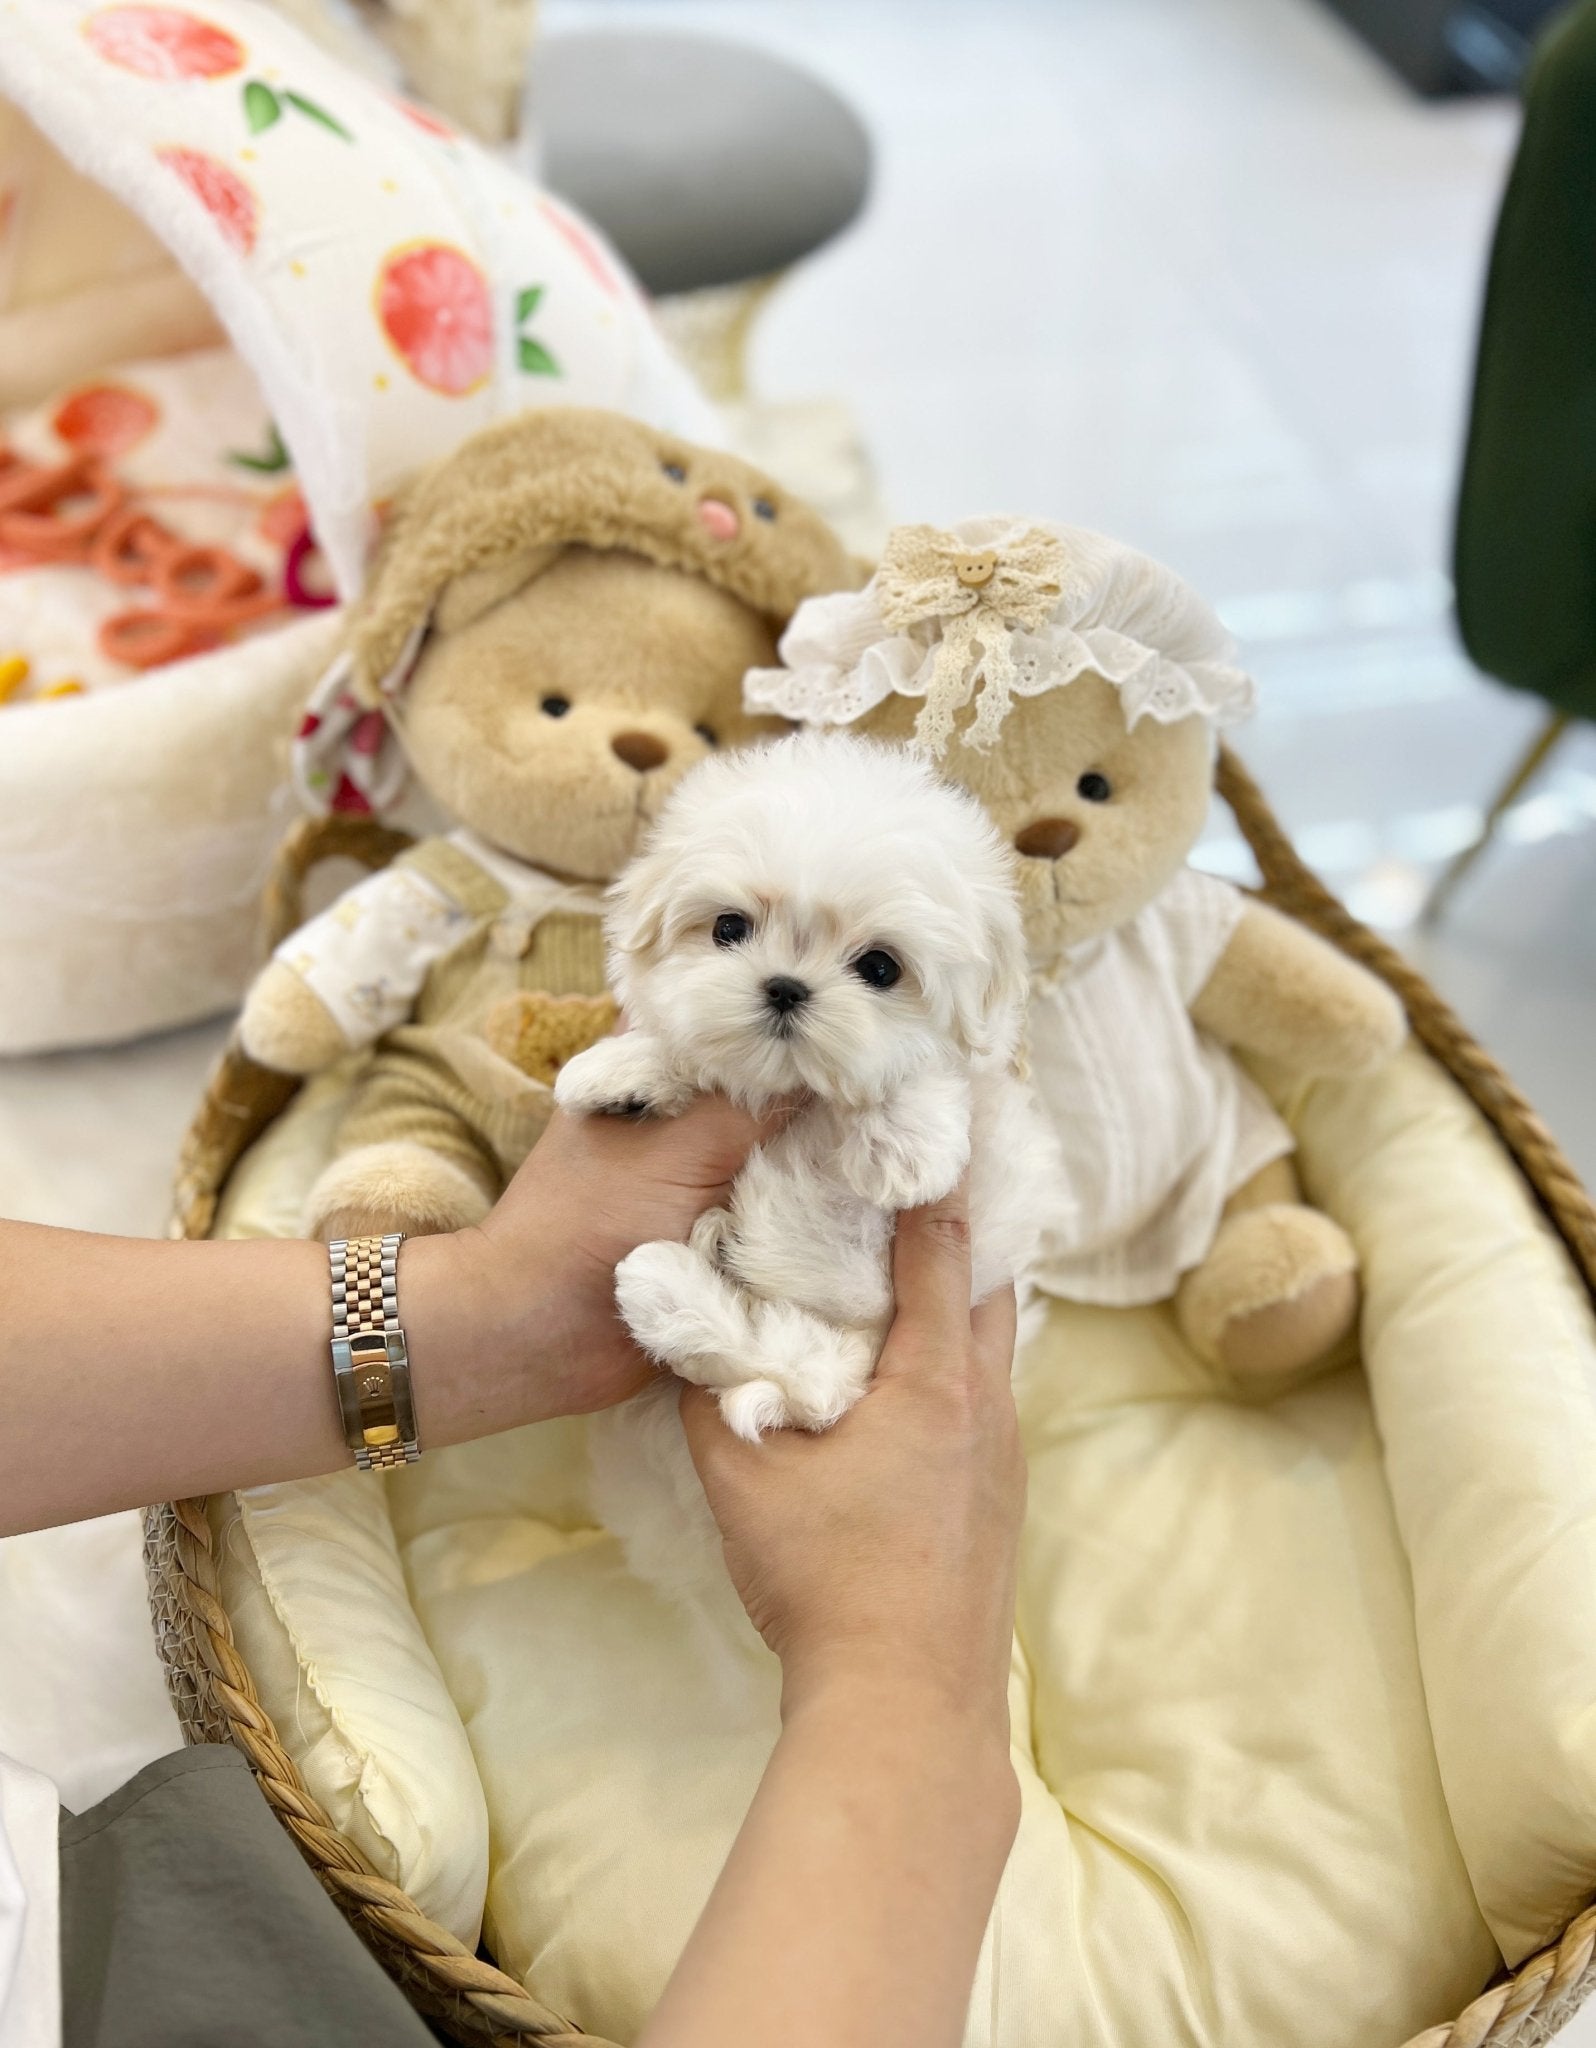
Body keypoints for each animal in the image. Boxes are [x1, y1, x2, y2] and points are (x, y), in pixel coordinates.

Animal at [557, 737, 1057, 1613]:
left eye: (881, 968)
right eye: (729, 928)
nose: (785, 987)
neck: (803, 1099)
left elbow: (935, 1073)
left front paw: (903, 1144)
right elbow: (686, 1045)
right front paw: (619, 1071)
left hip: (856, 1347)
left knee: (798, 1378)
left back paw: (665, 1284)